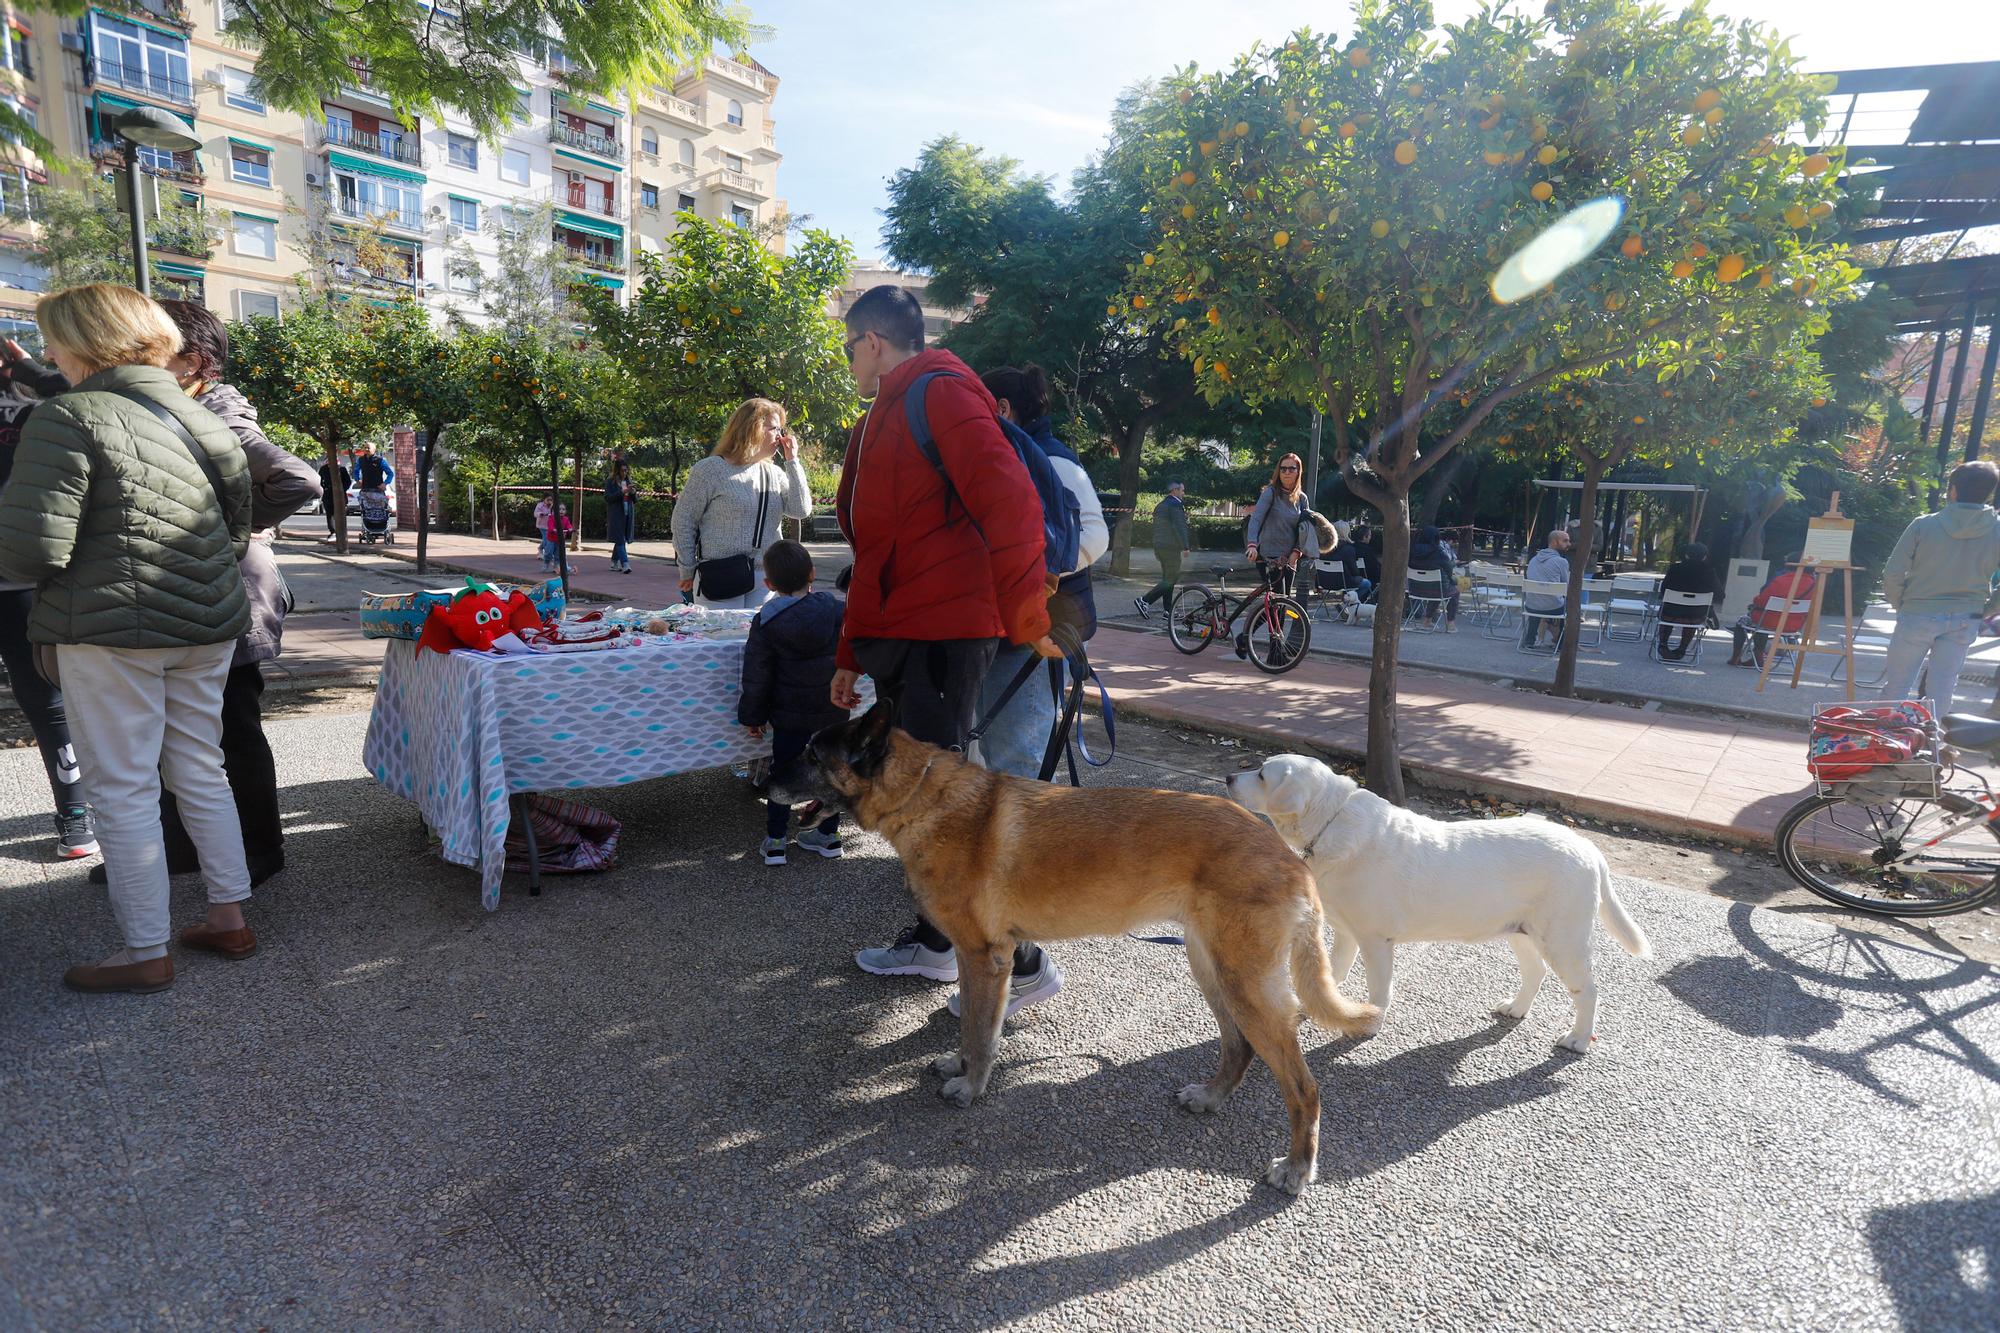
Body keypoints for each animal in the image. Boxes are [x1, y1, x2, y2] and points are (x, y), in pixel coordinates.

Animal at [772, 700, 1384, 1184]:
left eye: (812, 754)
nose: (763, 782)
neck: (921, 795)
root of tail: (1288, 855)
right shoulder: (978, 960)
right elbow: (971, 1026)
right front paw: (960, 1067)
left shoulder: (986, 960)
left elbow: (982, 1033)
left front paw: (972, 1087)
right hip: (1211, 969)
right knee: (1240, 1047)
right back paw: (1211, 1098)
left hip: (1244, 984)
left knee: (1302, 1086)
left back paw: (1298, 1167)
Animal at [1224, 756, 1648, 1048]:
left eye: (1262, 774)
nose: (1228, 777)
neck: (1330, 821)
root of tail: (1588, 848)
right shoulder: (1345, 932)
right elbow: (1334, 973)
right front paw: (1328, 1008)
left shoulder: (1376, 940)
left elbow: (1378, 989)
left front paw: (1369, 1023)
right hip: (1523, 931)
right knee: (1536, 971)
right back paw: (1516, 1008)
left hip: (1563, 938)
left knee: (1587, 990)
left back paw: (1578, 1039)